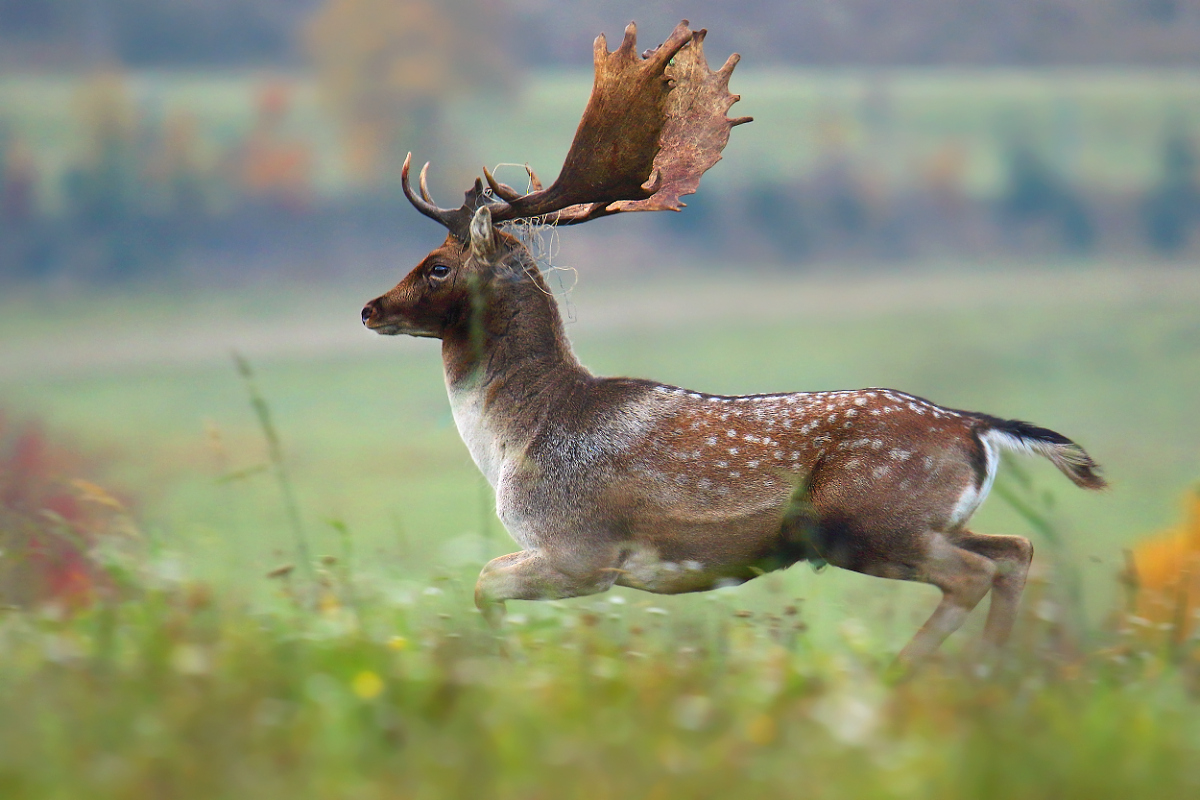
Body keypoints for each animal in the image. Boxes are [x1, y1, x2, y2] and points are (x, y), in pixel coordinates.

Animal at [357, 21, 1104, 666]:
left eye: (438, 265)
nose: (370, 309)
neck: (516, 440)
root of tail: (978, 430)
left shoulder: (581, 549)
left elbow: (483, 580)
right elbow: (483, 580)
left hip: (870, 520)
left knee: (973, 573)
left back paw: (911, 673)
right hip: (930, 521)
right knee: (1015, 549)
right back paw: (990, 674)